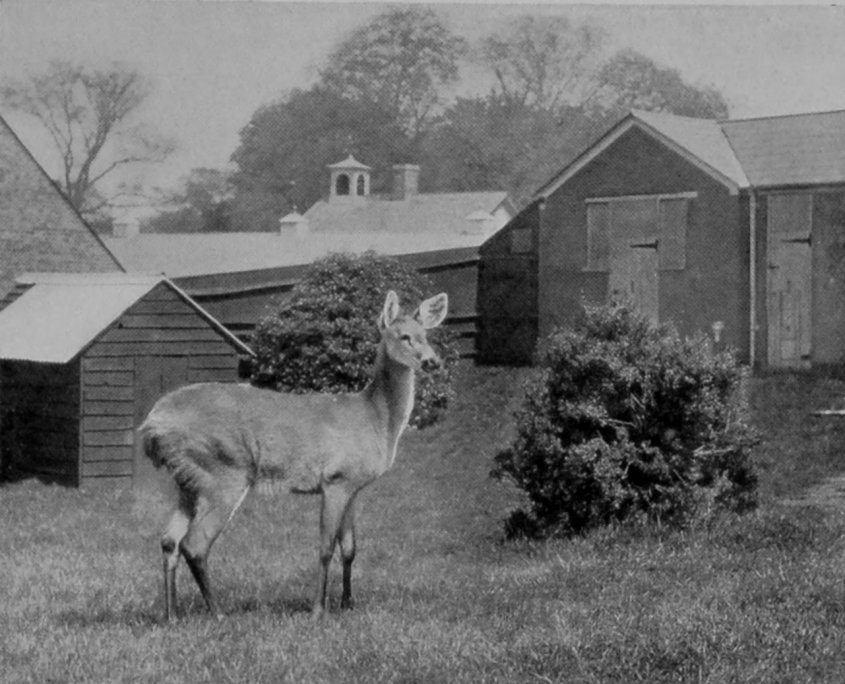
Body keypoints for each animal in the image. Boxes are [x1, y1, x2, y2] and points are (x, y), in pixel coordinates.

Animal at [139, 290, 448, 622]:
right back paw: (219, 614)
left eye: (426, 335)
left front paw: (347, 604)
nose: (433, 361)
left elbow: (350, 548)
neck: (375, 419)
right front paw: (318, 610)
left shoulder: (353, 486)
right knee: (194, 543)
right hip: (223, 470)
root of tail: (152, 423)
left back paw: (172, 616)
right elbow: (326, 548)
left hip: (187, 480)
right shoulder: (335, 479)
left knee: (169, 540)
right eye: (404, 336)